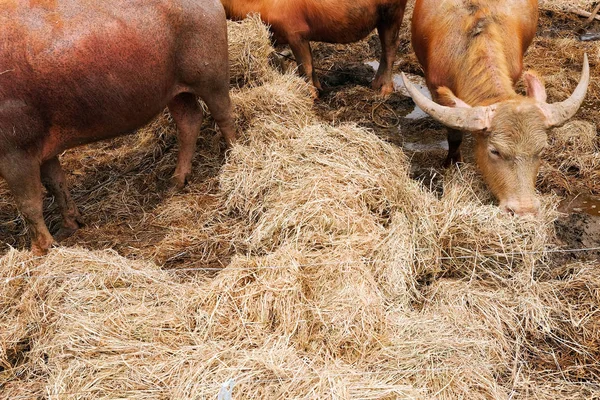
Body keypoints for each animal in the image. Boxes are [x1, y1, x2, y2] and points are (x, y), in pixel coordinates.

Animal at [0, 0, 239, 255]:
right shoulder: (41, 147)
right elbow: (56, 183)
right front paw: (69, 228)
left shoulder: (16, 148)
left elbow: (29, 204)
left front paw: (38, 251)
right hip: (174, 92)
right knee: (190, 119)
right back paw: (175, 182)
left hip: (211, 74)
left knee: (224, 114)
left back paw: (234, 156)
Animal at [220, 0, 408, 96]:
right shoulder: (303, 38)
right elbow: (309, 63)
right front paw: (319, 88)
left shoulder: (296, 34)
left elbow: (306, 67)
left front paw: (311, 94)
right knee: (384, 49)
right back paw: (375, 84)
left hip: (392, 15)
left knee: (391, 48)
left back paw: (385, 91)